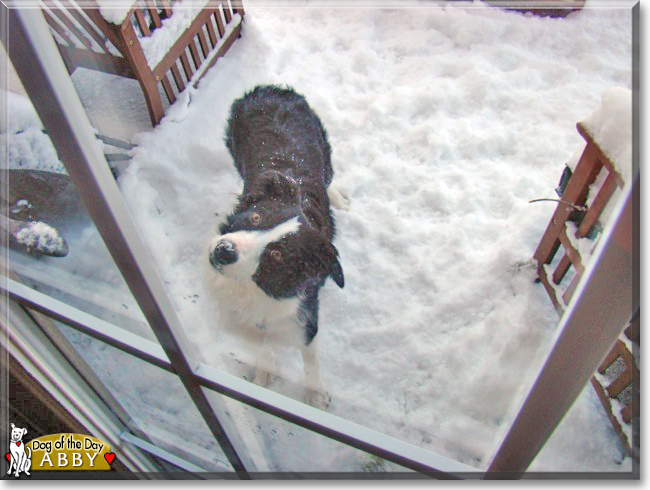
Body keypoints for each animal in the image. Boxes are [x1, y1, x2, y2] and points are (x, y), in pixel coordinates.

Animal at [206, 85, 344, 410]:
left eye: (278, 255)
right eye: (255, 218)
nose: (223, 250)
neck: (254, 287)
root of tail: (271, 89)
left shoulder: (306, 314)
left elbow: (310, 358)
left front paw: (315, 393)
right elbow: (260, 340)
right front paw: (264, 368)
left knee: (330, 174)